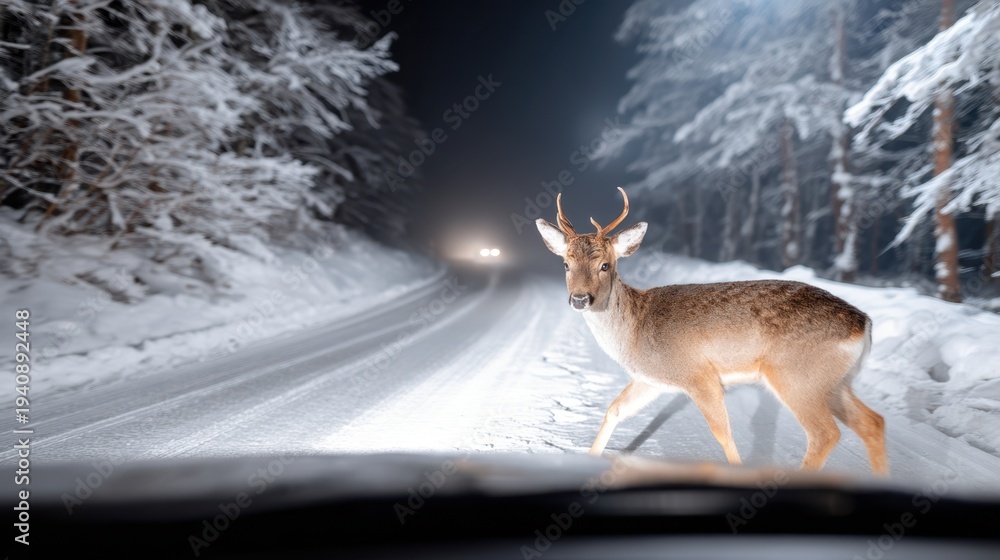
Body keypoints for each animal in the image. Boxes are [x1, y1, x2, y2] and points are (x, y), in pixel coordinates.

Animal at [535, 187, 888, 475]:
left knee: (825, 434)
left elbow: (722, 432)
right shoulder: (653, 379)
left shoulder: (698, 374)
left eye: (605, 265)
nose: (580, 299)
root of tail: (863, 324)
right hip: (833, 382)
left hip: (796, 375)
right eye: (566, 264)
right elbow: (614, 410)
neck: (634, 332)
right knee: (873, 422)